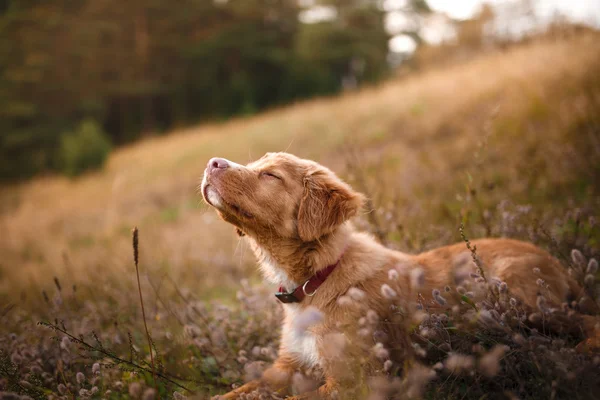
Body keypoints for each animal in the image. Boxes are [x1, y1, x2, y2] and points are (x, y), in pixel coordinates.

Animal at [203, 152, 600, 398]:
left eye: (269, 175)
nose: (211, 163)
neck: (316, 279)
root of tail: (555, 261)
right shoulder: (284, 368)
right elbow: (234, 394)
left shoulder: (354, 382)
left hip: (518, 299)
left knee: (588, 320)